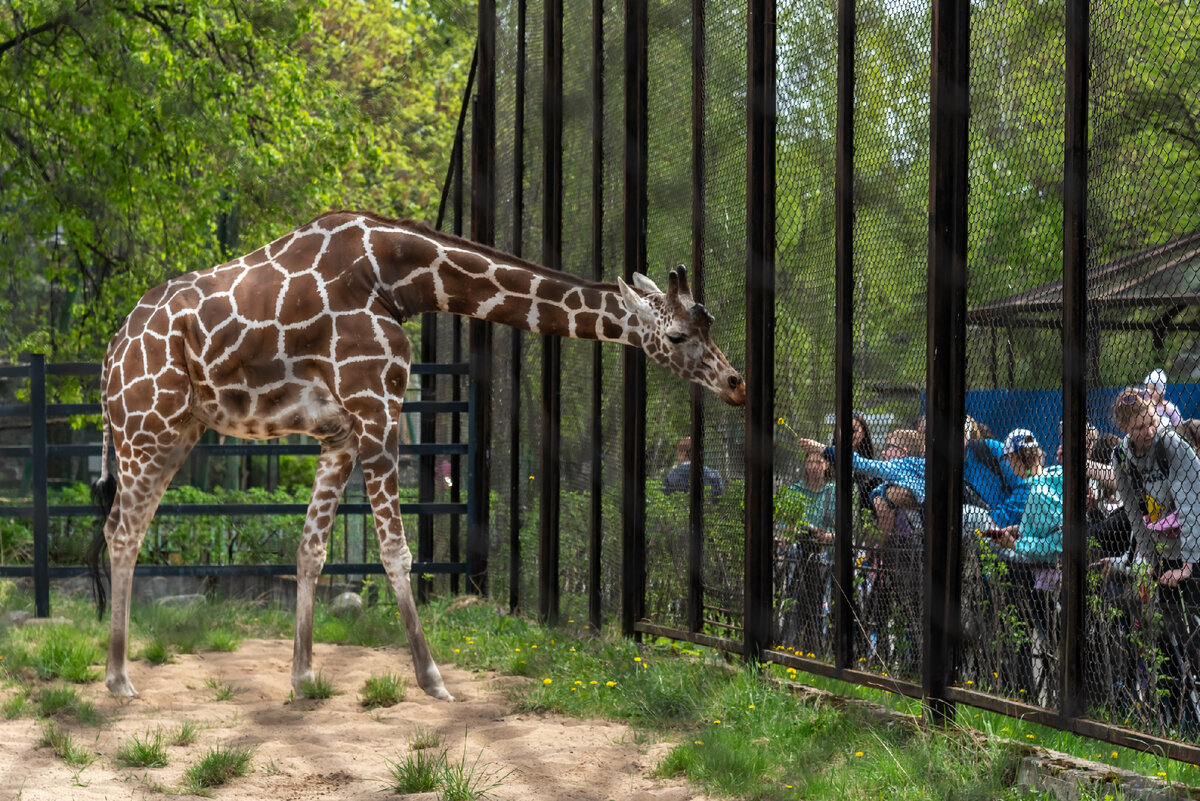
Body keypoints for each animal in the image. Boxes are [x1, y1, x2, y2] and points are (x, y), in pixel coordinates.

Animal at [87, 211, 739, 700]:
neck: (399, 279)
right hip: (146, 427)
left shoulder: (341, 432)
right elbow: (397, 552)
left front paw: (302, 678)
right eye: (679, 335)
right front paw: (432, 679)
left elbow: (311, 551)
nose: (736, 383)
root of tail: (110, 354)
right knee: (123, 532)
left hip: (178, 431)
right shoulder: (378, 405)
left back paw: (120, 670)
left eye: (709, 326)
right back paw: (118, 679)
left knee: (126, 529)